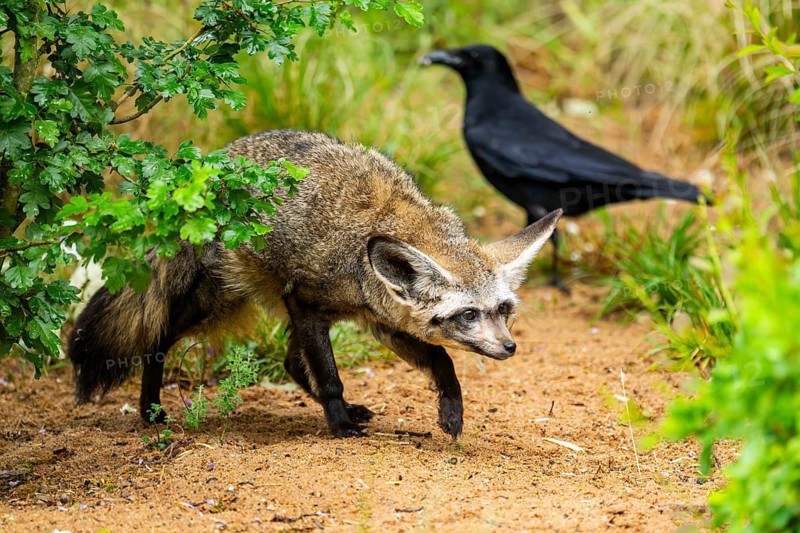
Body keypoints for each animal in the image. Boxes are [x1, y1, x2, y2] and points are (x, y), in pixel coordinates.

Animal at [68, 129, 561, 439]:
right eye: (468, 315)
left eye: (504, 311)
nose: (510, 347)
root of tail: (212, 163)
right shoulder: (305, 302)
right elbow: (330, 378)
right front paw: (339, 425)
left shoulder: (382, 319)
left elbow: (442, 360)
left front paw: (451, 410)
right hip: (215, 304)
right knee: (156, 340)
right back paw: (151, 410)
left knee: (289, 361)